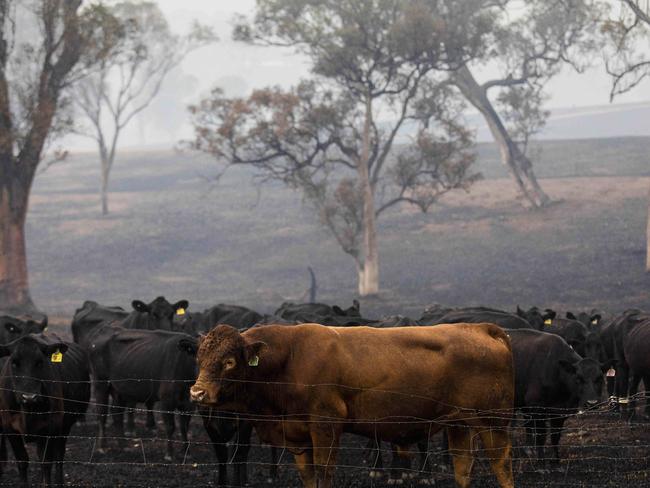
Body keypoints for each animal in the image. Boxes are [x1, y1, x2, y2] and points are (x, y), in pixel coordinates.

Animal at [0, 334, 89, 486]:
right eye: (14, 363)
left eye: (40, 362)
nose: (29, 397)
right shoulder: (9, 428)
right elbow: (22, 461)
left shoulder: (50, 427)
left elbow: (46, 462)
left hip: (64, 425)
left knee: (59, 455)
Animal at [190, 322, 512, 486]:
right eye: (200, 358)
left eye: (229, 362)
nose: (197, 393)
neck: (290, 357)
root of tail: (481, 328)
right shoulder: (299, 437)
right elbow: (309, 476)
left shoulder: (326, 427)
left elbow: (324, 473)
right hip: (459, 423)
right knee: (463, 467)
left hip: (492, 423)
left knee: (501, 466)